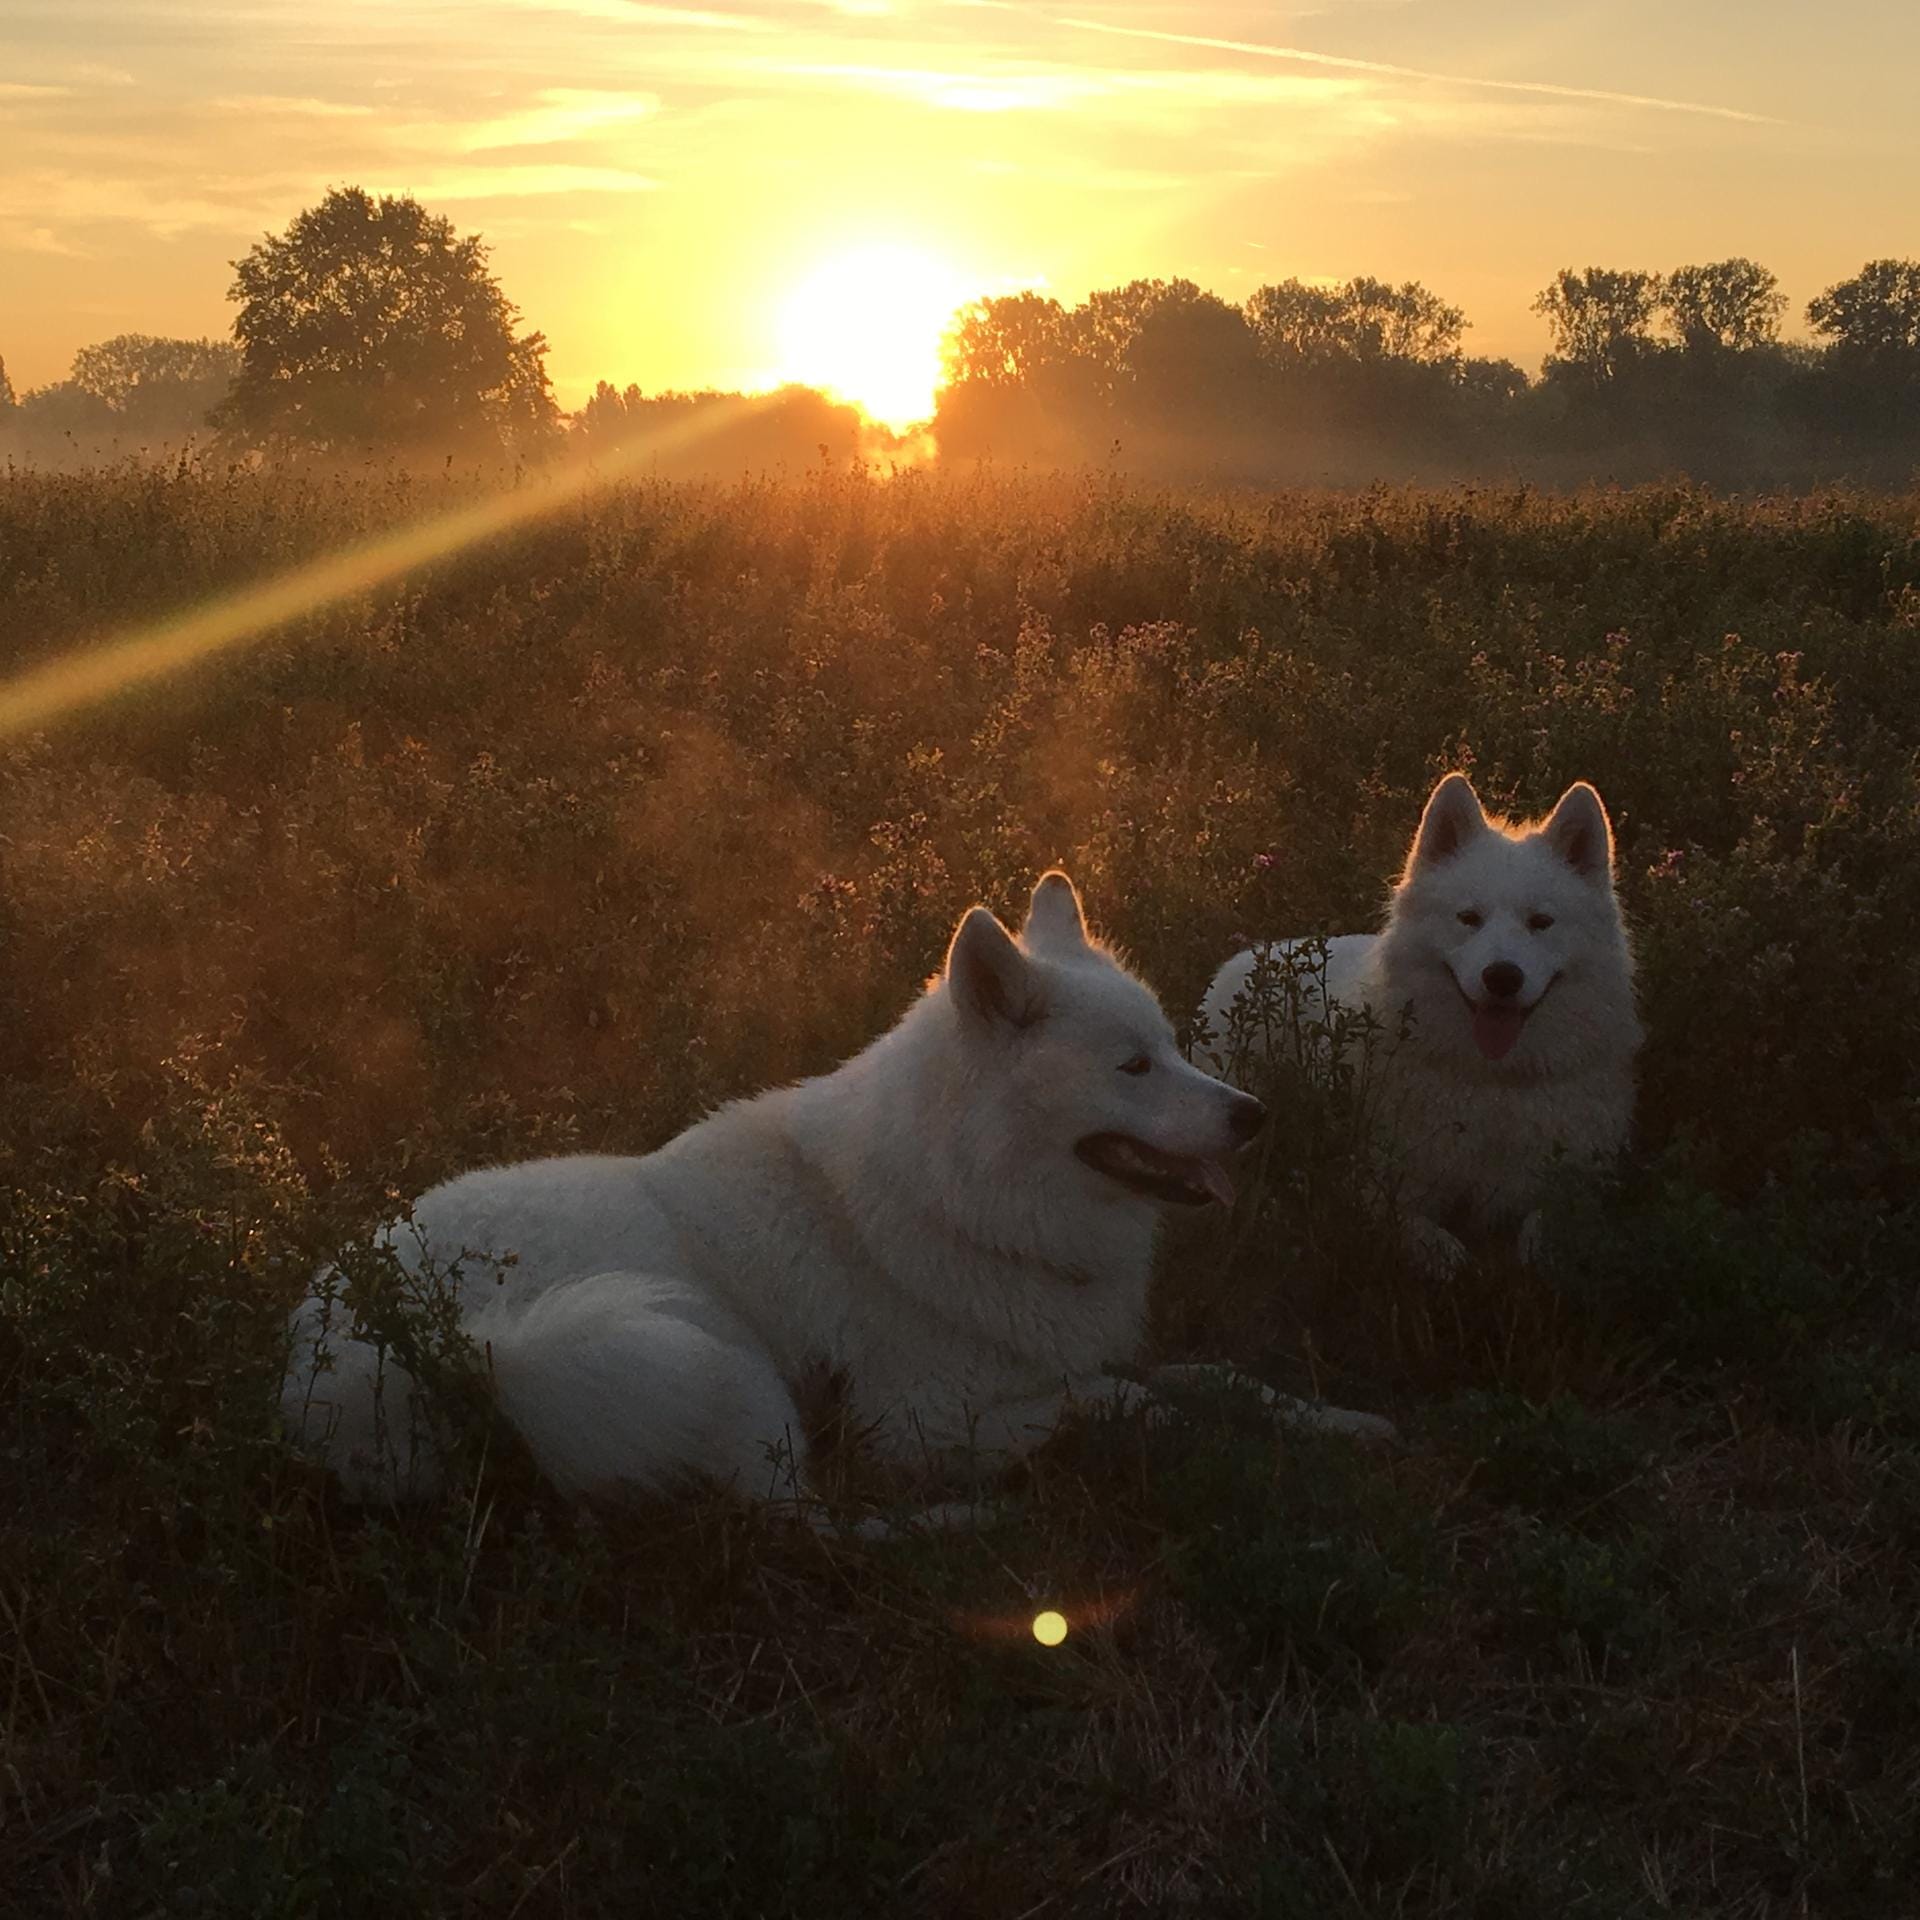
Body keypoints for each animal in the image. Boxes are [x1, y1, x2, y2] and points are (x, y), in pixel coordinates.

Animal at [284, 875, 1397, 1512]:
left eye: (1172, 1047)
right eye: (1131, 1068)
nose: (1255, 1115)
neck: (958, 1202)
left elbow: (1223, 1377)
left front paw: (1347, 1426)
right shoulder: (916, 1419)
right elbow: (1127, 1397)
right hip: (697, 1364)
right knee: (815, 1527)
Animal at [1198, 771, 1635, 1282]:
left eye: (1540, 922)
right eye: (1469, 918)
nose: (1502, 977)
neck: (1494, 1080)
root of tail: (1253, 954)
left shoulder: (1574, 1185)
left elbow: (1543, 1231)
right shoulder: (1383, 1185)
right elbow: (1423, 1235)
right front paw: (1453, 1259)